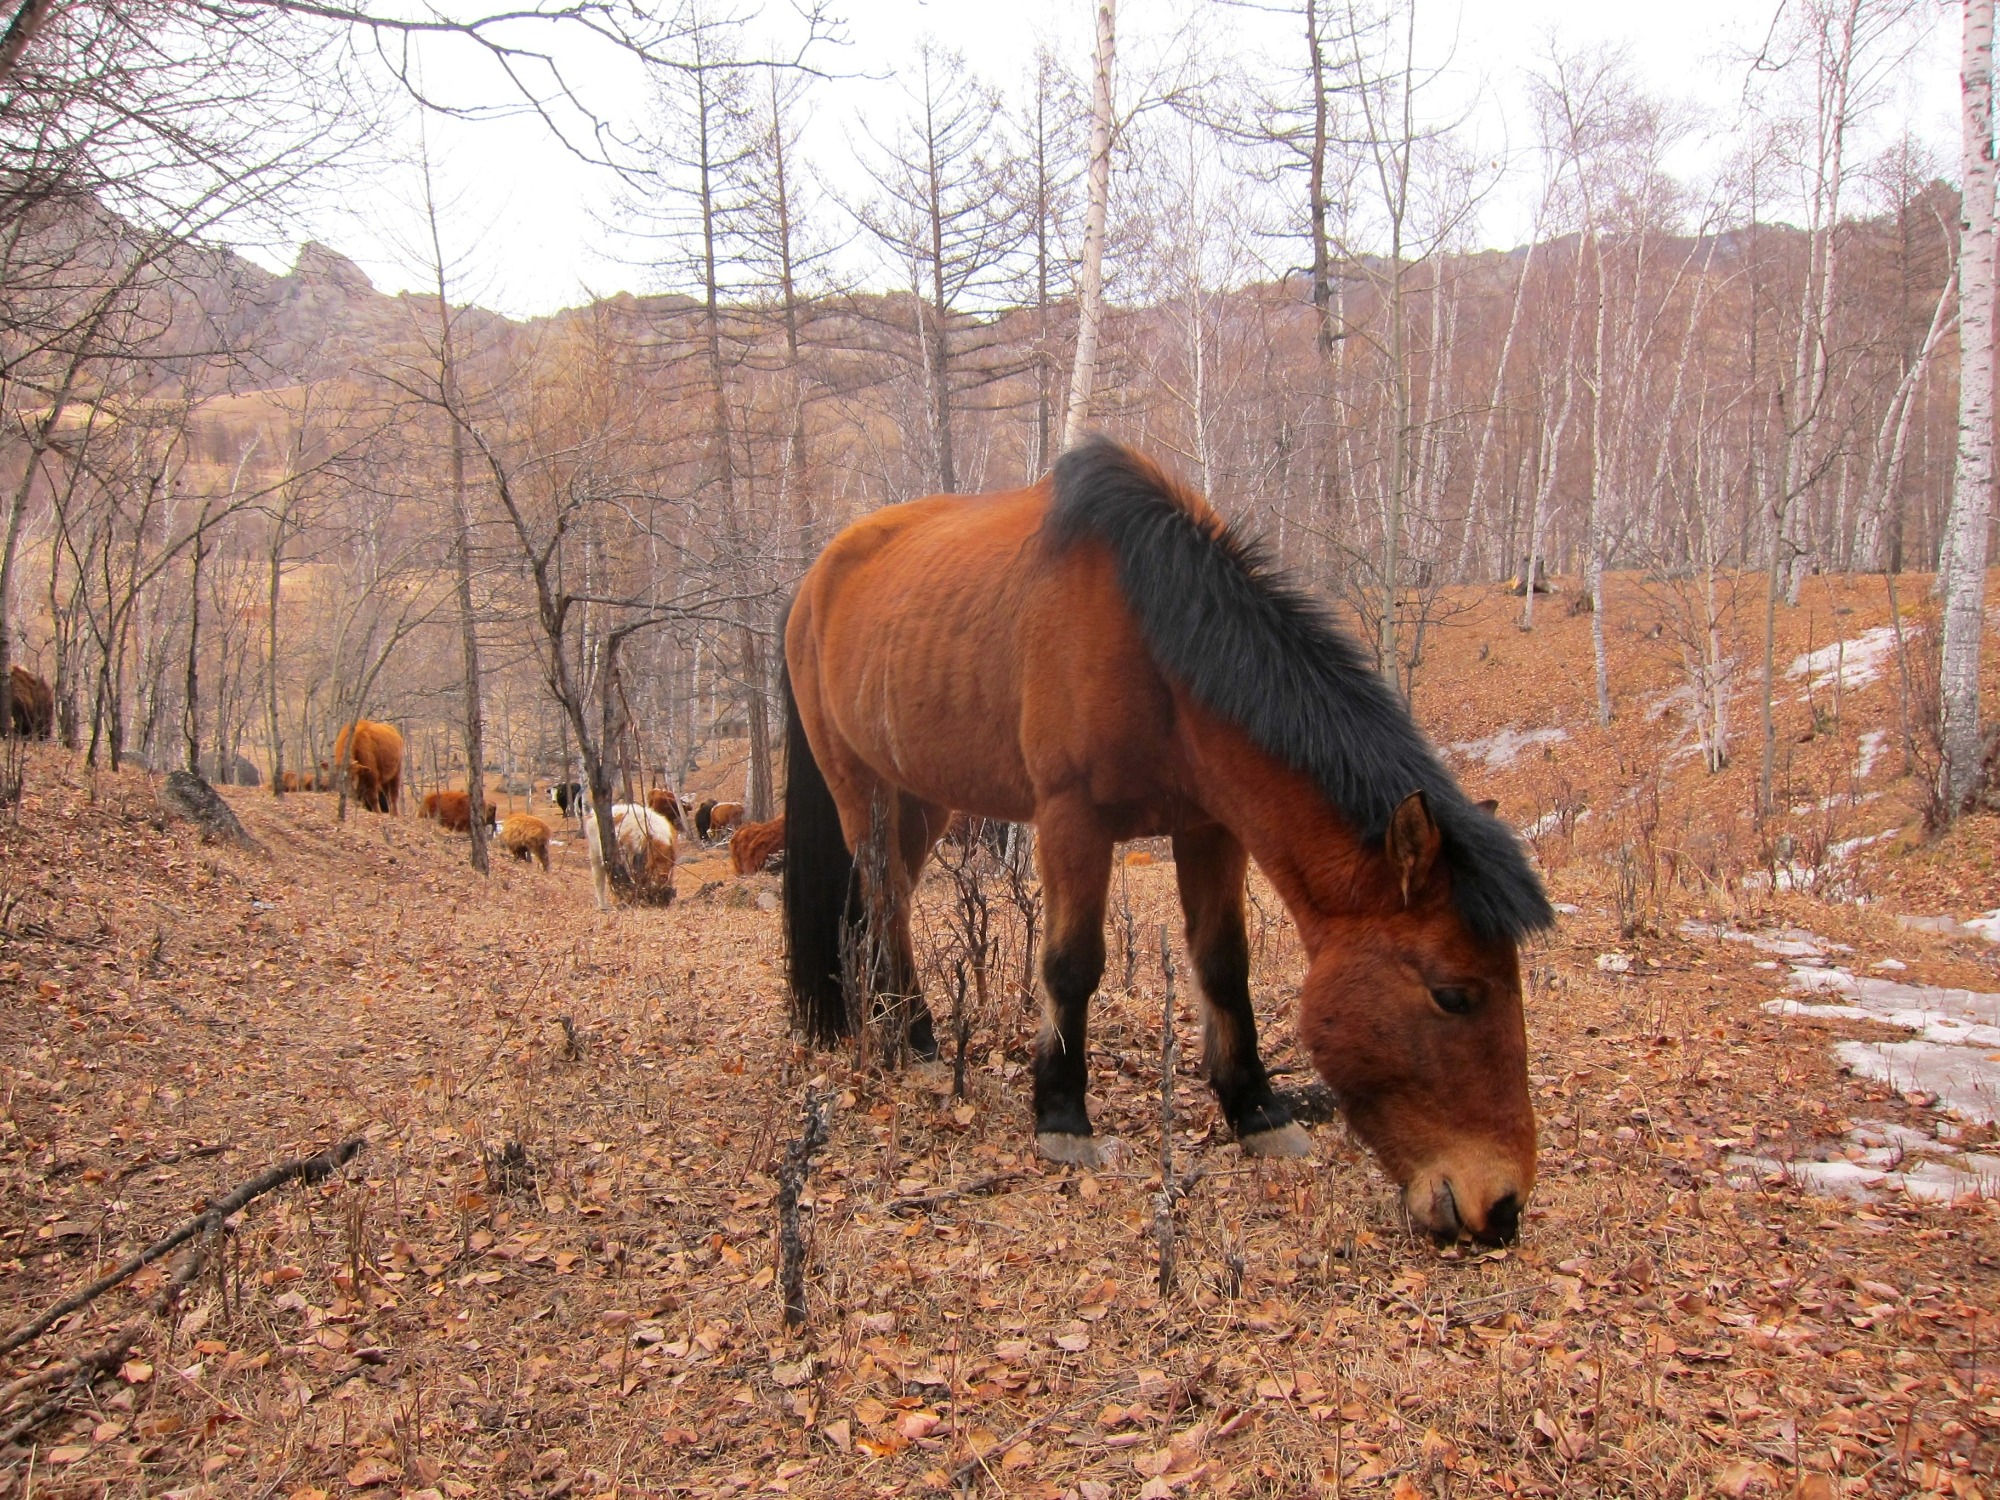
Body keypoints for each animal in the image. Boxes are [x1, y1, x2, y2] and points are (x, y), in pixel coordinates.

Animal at [782, 438, 1553, 1245]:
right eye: (1453, 995)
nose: (1502, 1206)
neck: (1152, 643)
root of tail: (811, 587)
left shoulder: (1210, 828)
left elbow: (1223, 964)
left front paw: (1255, 1109)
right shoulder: (1072, 820)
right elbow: (1072, 966)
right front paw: (1062, 1116)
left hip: (923, 797)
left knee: (888, 900)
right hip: (860, 790)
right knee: (886, 900)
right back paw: (918, 1036)